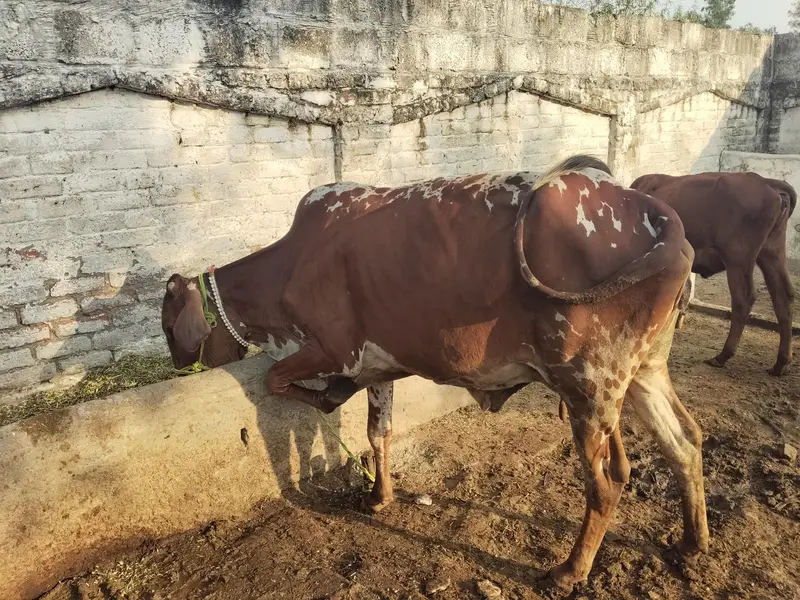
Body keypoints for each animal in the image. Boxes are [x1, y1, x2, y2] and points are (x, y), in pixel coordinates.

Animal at [162, 155, 708, 591]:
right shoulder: (378, 363)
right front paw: (379, 496)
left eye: (167, 326)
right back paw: (691, 541)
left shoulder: (334, 349)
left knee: (608, 481)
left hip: (589, 386)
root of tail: (659, 214)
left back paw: (570, 571)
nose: (179, 364)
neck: (291, 264)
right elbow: (377, 431)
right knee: (685, 441)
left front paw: (331, 396)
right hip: (643, 373)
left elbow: (280, 380)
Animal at [630, 172, 797, 376]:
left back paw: (723, 355)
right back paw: (781, 363)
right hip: (771, 254)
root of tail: (767, 182)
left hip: (738, 259)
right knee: (783, 297)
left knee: (743, 299)